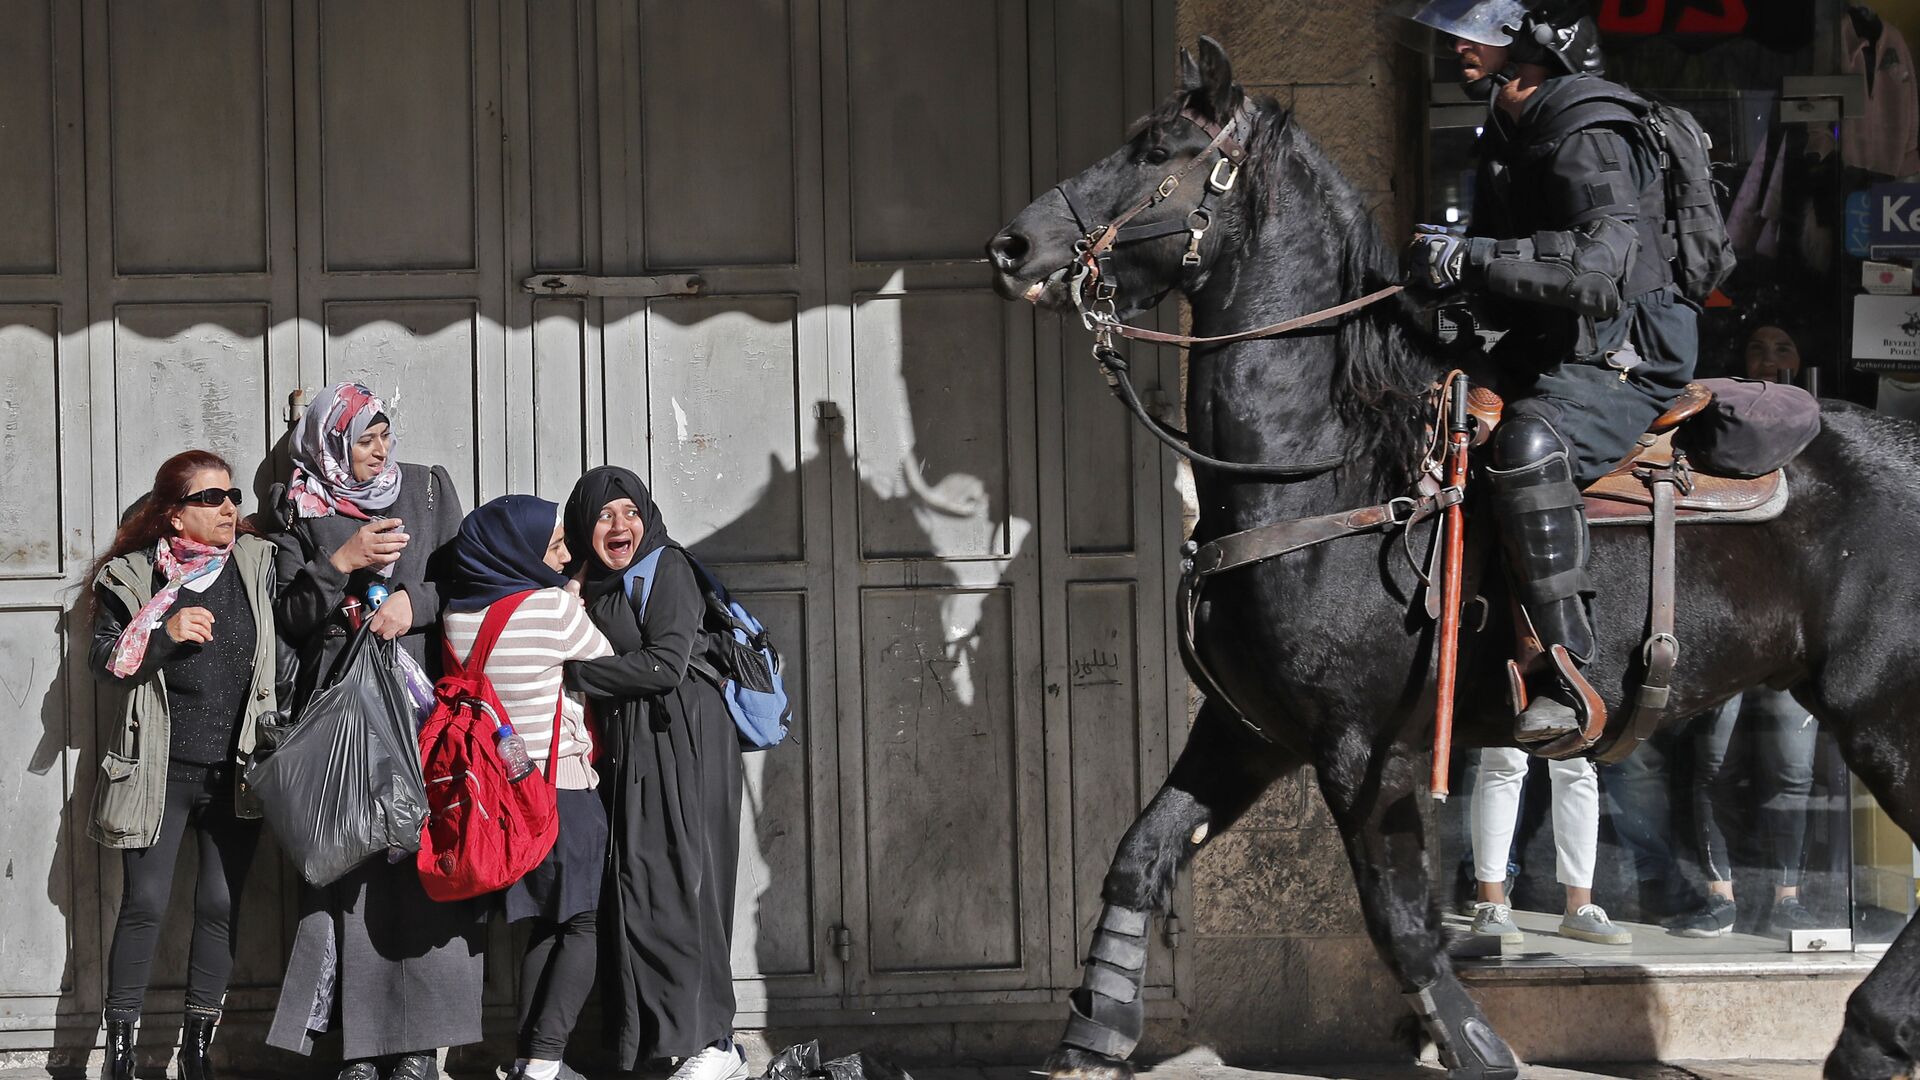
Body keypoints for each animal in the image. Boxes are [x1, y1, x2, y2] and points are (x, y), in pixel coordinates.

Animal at [990, 37, 1920, 1076]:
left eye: (1159, 150)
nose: (1014, 247)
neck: (1322, 466)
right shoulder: (1247, 729)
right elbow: (1139, 856)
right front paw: (1095, 1029)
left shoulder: (1365, 750)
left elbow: (1398, 919)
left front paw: (1475, 1042)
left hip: (1886, 716)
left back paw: (1872, 1034)